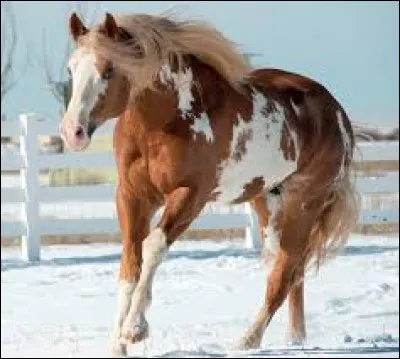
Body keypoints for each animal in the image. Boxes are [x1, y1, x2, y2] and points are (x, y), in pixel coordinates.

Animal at [59, 10, 360, 358]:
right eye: (71, 68)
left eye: (109, 70)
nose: (73, 132)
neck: (163, 122)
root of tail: (335, 110)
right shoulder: (132, 196)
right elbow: (130, 264)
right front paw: (116, 345)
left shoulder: (191, 195)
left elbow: (153, 247)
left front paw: (135, 329)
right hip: (268, 204)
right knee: (290, 270)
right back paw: (295, 339)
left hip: (304, 203)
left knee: (283, 275)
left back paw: (247, 341)